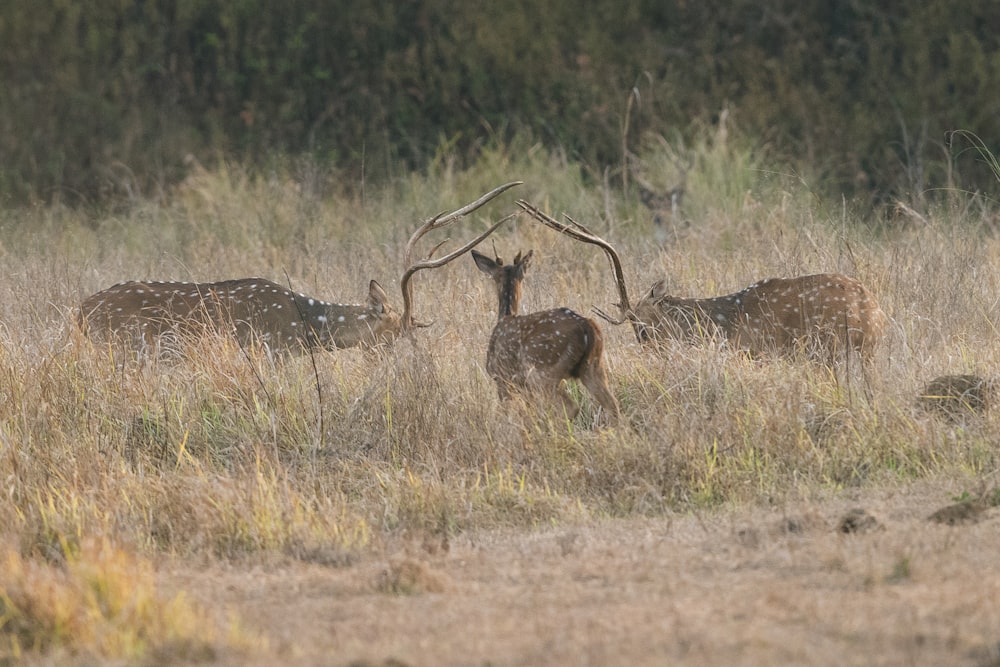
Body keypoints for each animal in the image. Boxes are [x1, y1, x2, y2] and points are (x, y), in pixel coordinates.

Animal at [76, 180, 524, 358]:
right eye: (394, 335)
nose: (410, 362)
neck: (306, 325)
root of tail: (79, 313)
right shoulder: (270, 349)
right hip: (127, 346)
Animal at [472, 248, 620, 426]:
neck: (504, 317)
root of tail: (586, 327)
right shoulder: (523, 387)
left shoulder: (503, 378)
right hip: (593, 366)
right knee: (612, 404)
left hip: (543, 371)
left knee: (571, 407)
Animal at [520, 198, 888, 376]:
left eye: (643, 329)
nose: (652, 354)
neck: (716, 324)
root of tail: (870, 307)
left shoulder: (755, 353)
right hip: (864, 353)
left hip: (830, 347)